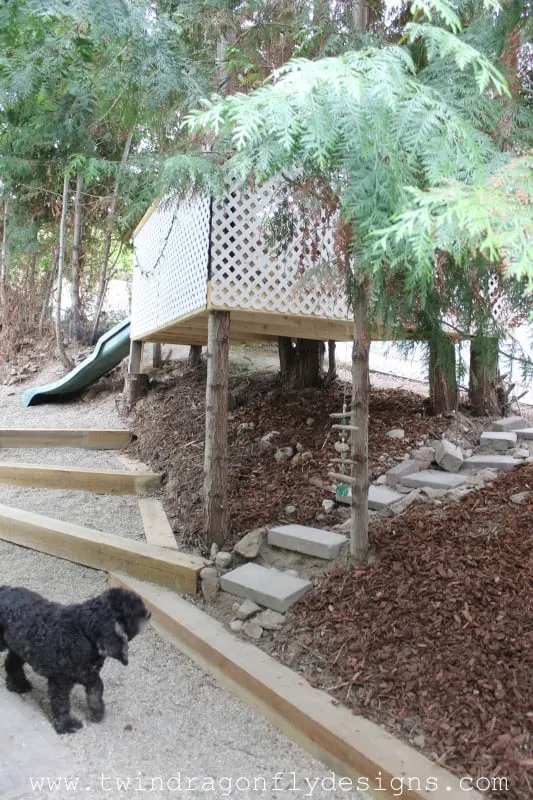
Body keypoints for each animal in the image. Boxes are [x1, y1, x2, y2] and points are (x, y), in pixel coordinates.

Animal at [0, 584, 151, 736]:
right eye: (134, 611)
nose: (149, 613)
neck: (83, 631)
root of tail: (5, 588)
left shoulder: (88, 673)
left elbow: (97, 689)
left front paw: (97, 711)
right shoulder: (61, 680)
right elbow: (61, 703)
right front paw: (66, 724)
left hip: (18, 647)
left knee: (11, 664)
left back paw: (17, 685)